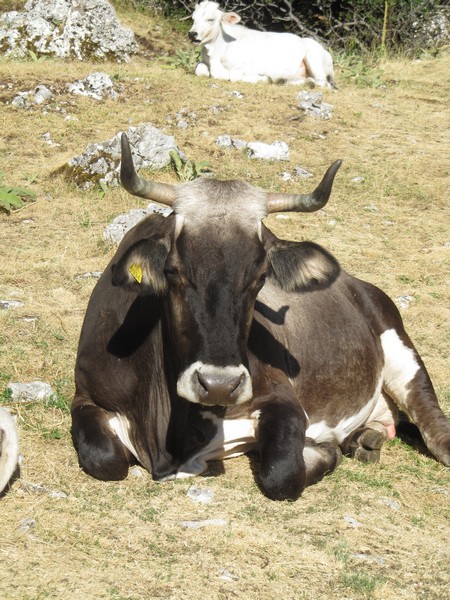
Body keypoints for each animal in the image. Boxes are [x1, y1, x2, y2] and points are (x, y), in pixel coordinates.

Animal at [71, 135, 450, 502]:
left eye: (260, 277)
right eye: (173, 271)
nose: (219, 384)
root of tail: (356, 283)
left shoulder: (285, 402)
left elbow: (282, 474)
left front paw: (320, 451)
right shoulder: (85, 395)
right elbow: (104, 458)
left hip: (400, 348)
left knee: (433, 426)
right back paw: (363, 439)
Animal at [188, 0, 336, 89]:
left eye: (210, 19)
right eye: (193, 18)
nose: (192, 34)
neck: (216, 52)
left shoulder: (249, 66)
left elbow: (234, 76)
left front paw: (265, 79)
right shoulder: (205, 63)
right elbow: (199, 69)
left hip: (314, 58)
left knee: (322, 83)